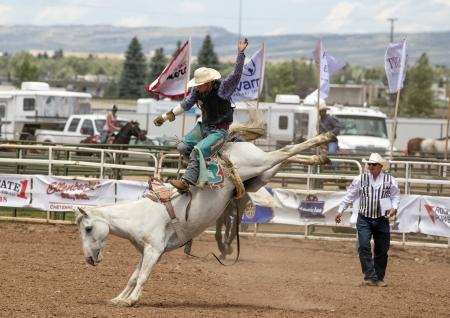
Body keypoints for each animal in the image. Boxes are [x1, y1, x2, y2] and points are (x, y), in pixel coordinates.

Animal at [73, 132, 334, 306]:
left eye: (88, 228)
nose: (88, 259)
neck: (139, 215)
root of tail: (228, 146)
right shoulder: (147, 251)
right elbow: (134, 276)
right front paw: (118, 298)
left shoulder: (154, 250)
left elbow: (143, 276)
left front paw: (132, 300)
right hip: (261, 175)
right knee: (286, 156)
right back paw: (320, 158)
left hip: (258, 163)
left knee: (284, 152)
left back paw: (324, 138)